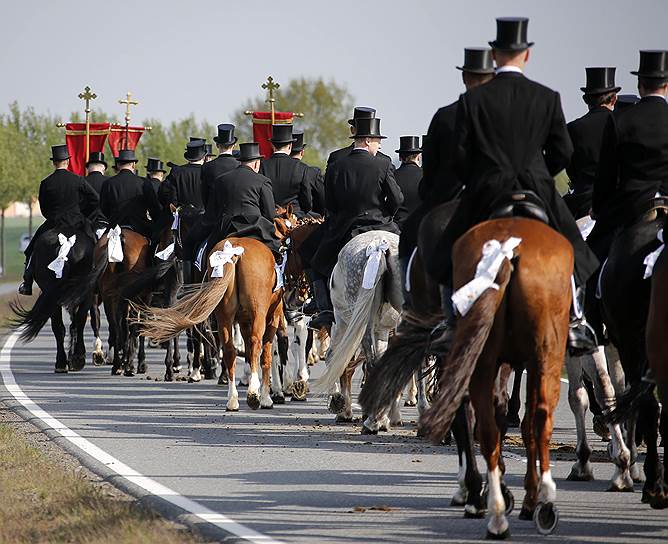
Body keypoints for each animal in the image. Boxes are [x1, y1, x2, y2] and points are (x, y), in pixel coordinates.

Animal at [137, 236, 284, 410]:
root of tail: (234, 251)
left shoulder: (243, 321)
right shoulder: (273, 316)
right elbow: (266, 355)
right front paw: (266, 397)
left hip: (224, 314)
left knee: (228, 349)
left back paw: (232, 399)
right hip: (257, 313)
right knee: (255, 344)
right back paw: (253, 394)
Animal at [312, 230, 402, 434]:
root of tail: (377, 244)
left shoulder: (340, 322)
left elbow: (333, 357)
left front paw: (339, 403)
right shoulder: (382, 331)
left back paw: (371, 422)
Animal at [418, 218, 568, 540]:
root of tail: (507, 254)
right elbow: (518, 422)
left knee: (485, 420)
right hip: (538, 356)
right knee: (530, 419)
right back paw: (533, 504)